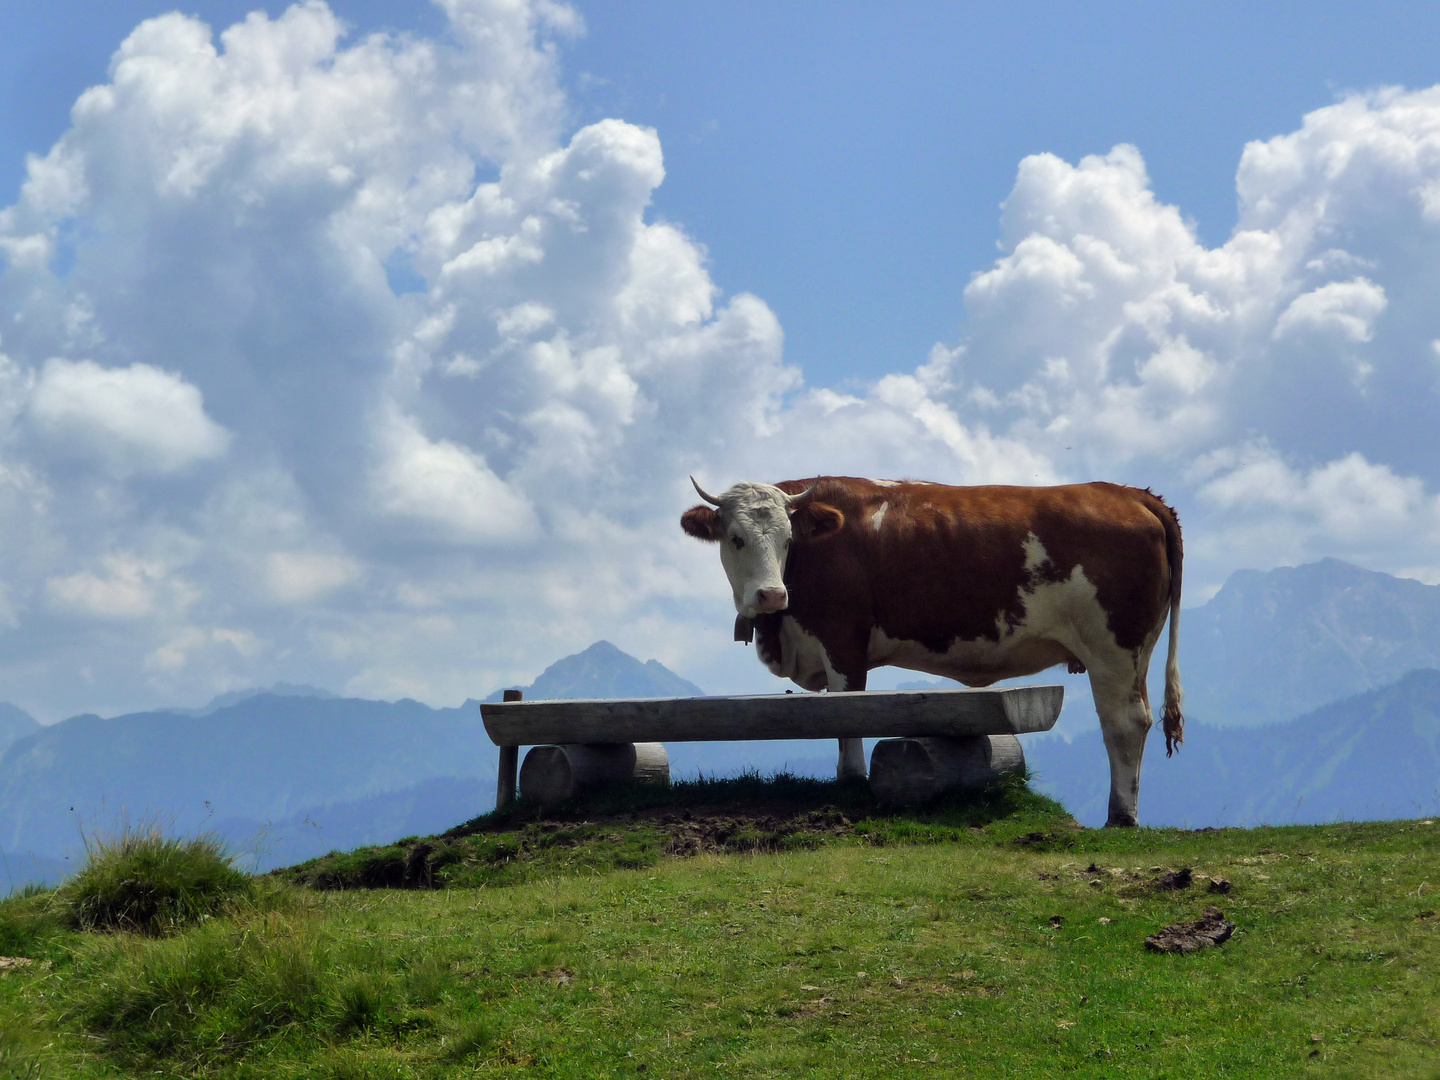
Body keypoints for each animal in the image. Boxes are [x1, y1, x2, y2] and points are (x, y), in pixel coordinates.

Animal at [679, 475, 1186, 829]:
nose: (771, 595)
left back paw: (1121, 816)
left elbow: (846, 716)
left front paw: (851, 783)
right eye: (736, 538)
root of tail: (1129, 494)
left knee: (1125, 723)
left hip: (1114, 647)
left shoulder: (843, 639)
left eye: (788, 540)